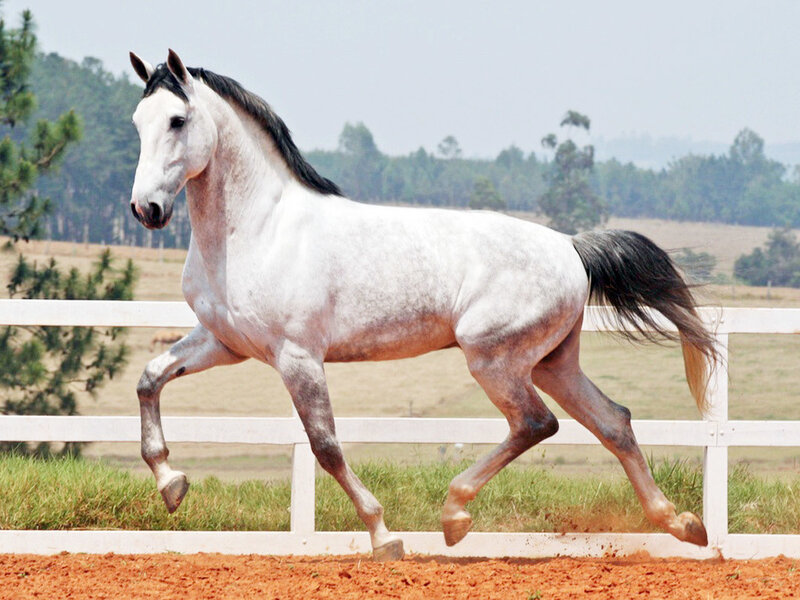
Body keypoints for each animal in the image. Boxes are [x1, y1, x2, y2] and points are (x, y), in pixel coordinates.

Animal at [128, 50, 717, 561]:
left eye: (177, 119)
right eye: (138, 120)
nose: (146, 209)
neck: (258, 230)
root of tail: (571, 247)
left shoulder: (297, 357)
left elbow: (326, 446)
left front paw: (384, 537)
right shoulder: (226, 343)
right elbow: (149, 379)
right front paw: (172, 484)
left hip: (494, 359)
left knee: (535, 423)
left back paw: (455, 515)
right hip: (553, 363)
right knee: (612, 421)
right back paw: (682, 523)